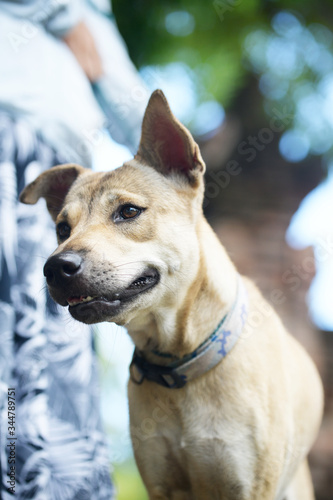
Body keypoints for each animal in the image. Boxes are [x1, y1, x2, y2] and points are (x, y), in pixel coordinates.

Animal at [20, 91, 322, 500]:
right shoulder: (161, 483)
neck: (179, 361)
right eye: (62, 228)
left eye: (129, 211)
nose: (54, 267)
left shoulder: (248, 485)